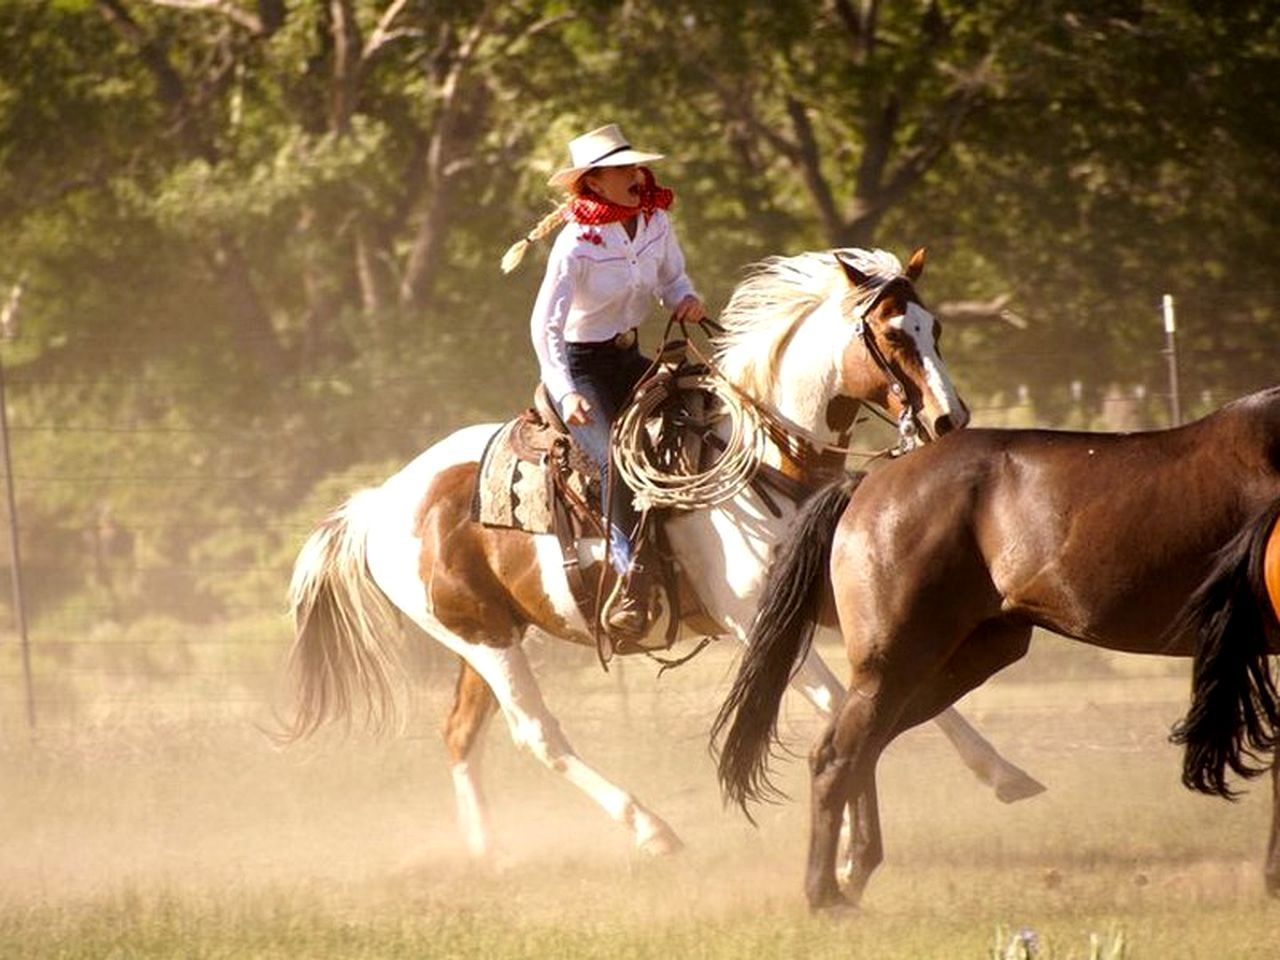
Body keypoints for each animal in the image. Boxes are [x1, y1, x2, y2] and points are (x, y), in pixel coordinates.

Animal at [711, 384, 1280, 911]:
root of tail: (867, 483)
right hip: (895, 663)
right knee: (838, 756)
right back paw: (825, 893)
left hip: (954, 663)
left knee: (861, 751)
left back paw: (854, 872)